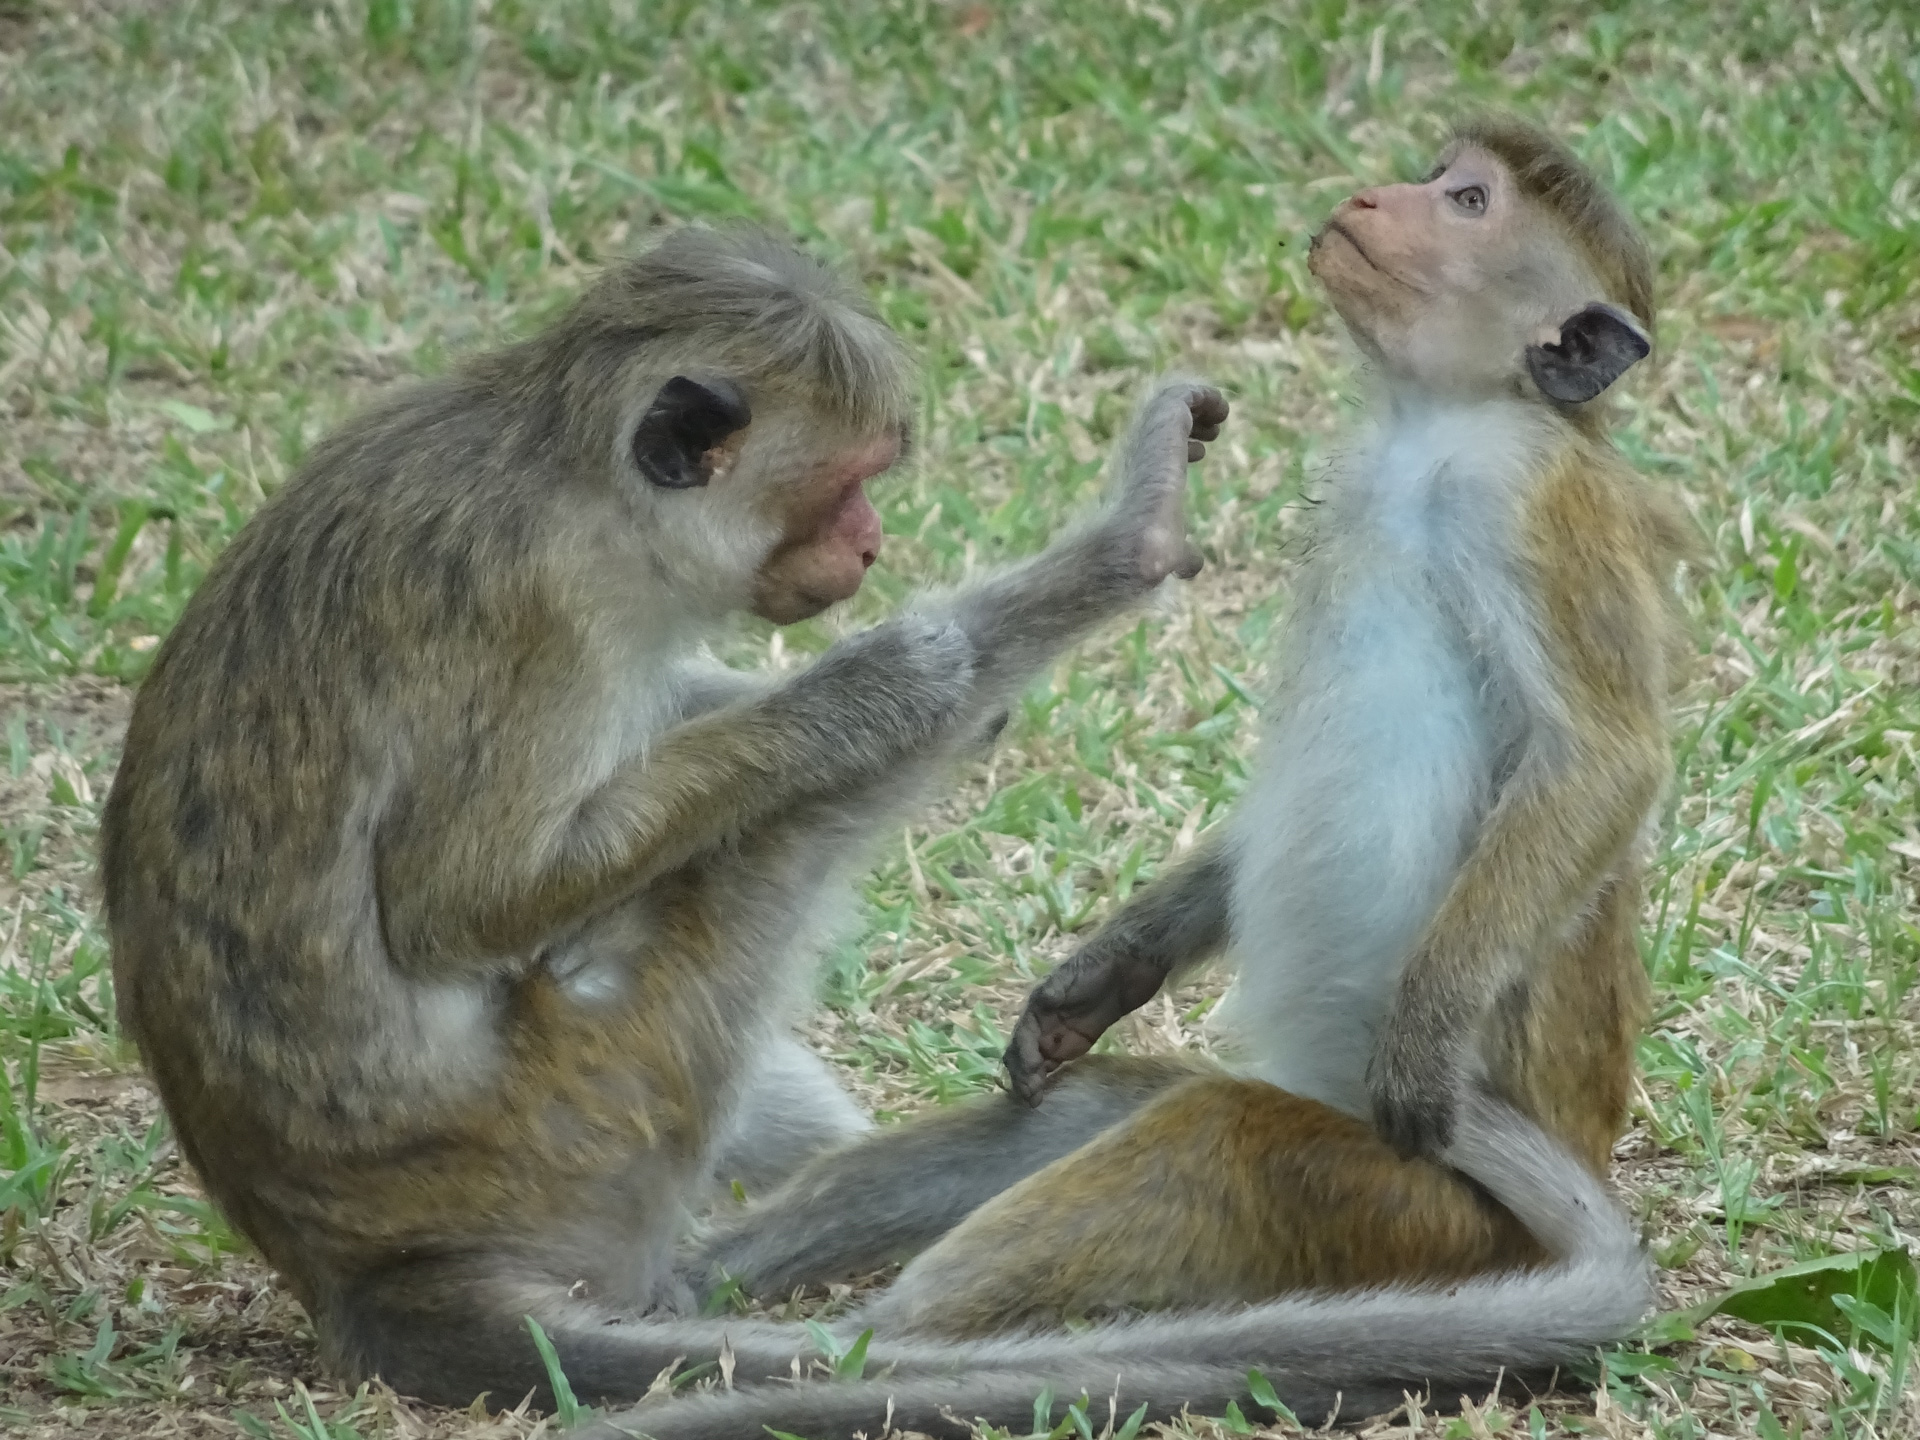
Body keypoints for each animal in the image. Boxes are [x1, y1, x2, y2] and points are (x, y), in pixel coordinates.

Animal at [99, 224, 1232, 1413]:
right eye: (850, 484)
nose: (872, 545)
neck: (578, 485)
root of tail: (353, 1273)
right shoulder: (546, 607)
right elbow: (458, 906)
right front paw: (880, 688)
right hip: (592, 1123)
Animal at [582, 117, 1689, 1440]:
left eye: (1467, 203)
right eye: (1437, 177)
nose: (1379, 196)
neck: (1433, 428)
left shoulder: (1527, 502)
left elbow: (1603, 758)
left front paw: (1427, 1040)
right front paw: (1101, 975)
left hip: (1406, 1204)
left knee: (1212, 1142)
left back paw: (852, 1348)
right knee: (1077, 1116)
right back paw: (711, 1289)